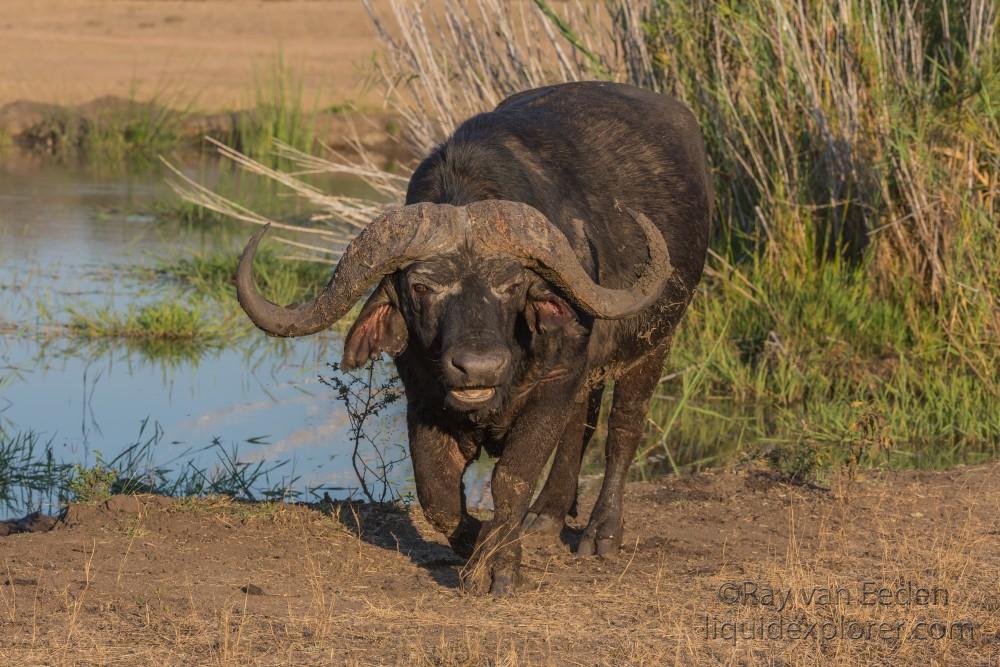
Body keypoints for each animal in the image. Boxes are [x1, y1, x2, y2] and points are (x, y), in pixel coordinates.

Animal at [234, 79, 712, 596]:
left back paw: (601, 532)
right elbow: (437, 494)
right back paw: (546, 517)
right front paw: (476, 542)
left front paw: (499, 566)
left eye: (512, 284)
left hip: (656, 340)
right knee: (579, 427)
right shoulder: (424, 398)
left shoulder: (555, 381)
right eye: (421, 287)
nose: (478, 367)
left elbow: (512, 478)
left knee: (623, 430)